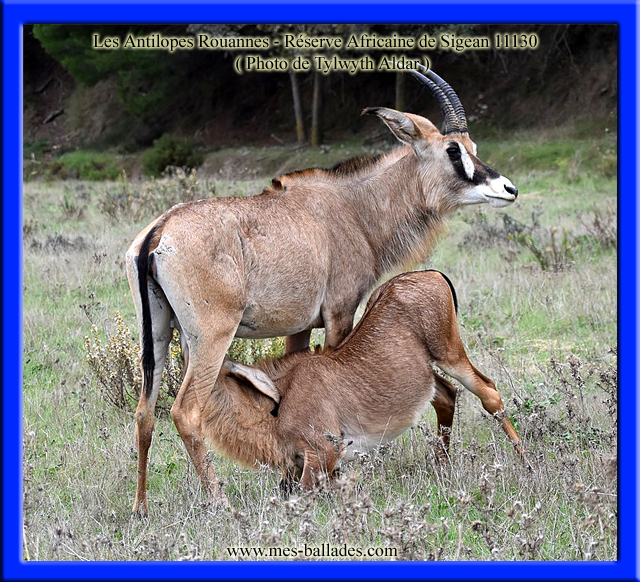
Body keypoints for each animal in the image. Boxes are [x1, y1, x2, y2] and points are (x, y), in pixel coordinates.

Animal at [126, 68, 520, 516]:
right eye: (453, 150)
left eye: (473, 147)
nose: (508, 189)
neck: (354, 208)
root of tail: (158, 233)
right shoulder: (339, 312)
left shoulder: (298, 326)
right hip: (210, 337)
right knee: (186, 411)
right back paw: (219, 500)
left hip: (158, 336)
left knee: (144, 413)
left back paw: (140, 507)